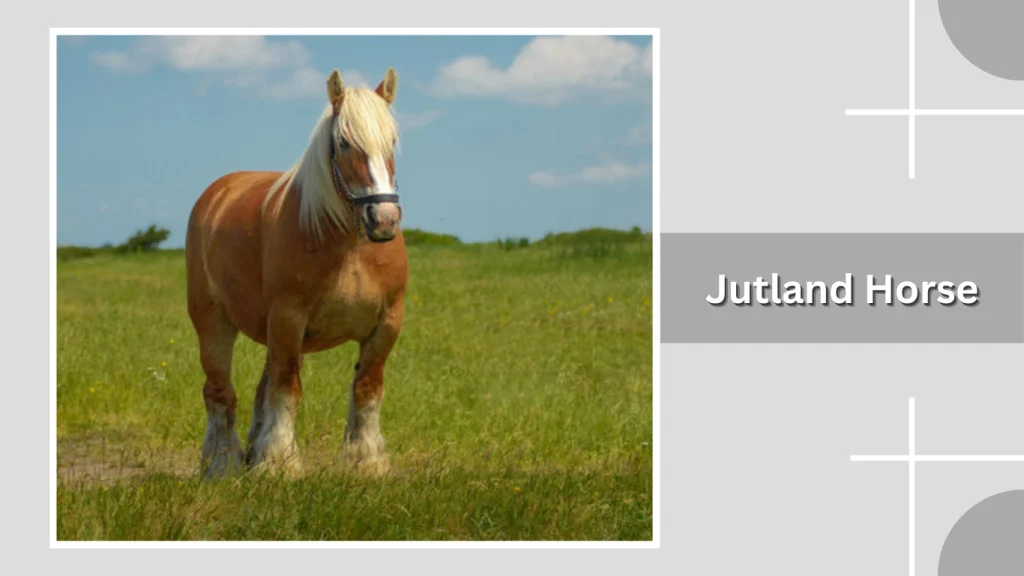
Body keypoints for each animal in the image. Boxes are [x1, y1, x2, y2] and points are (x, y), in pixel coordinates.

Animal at [185, 68, 407, 479]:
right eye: (344, 142)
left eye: (393, 141)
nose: (383, 219)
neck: (349, 248)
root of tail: (217, 193)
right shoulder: (288, 318)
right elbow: (287, 390)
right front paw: (280, 463)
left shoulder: (387, 323)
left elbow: (366, 389)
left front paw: (366, 462)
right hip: (213, 322)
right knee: (219, 391)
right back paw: (221, 463)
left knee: (259, 391)